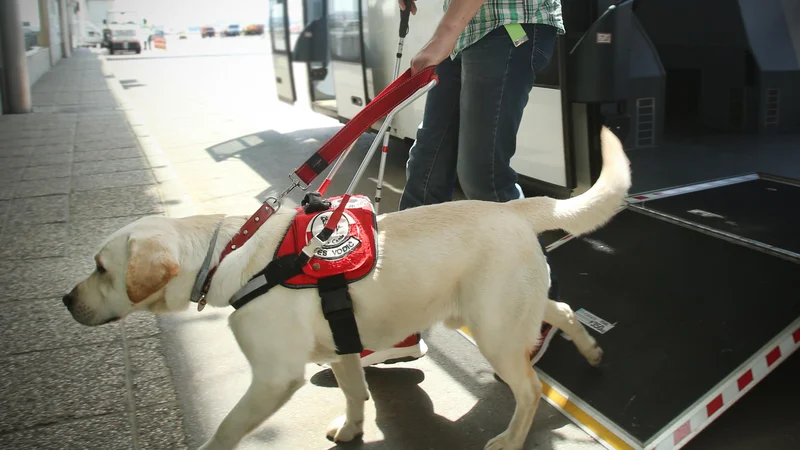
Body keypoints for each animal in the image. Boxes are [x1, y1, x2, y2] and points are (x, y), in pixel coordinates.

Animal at [62, 125, 632, 448]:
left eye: (101, 268)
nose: (65, 299)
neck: (229, 254)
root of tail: (515, 208)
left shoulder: (274, 377)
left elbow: (227, 428)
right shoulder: (340, 346)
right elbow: (356, 392)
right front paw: (354, 429)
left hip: (491, 327)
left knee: (530, 390)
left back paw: (511, 439)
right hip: (494, 312)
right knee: (562, 309)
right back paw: (591, 351)